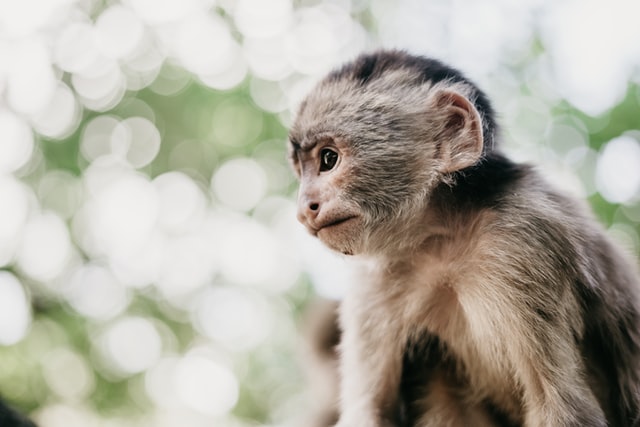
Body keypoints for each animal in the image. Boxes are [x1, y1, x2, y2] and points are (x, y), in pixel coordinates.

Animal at [288, 50, 640, 427]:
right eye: (302, 170)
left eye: (328, 159)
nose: (304, 209)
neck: (444, 238)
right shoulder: (372, 284)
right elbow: (371, 412)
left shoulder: (528, 237)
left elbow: (562, 406)